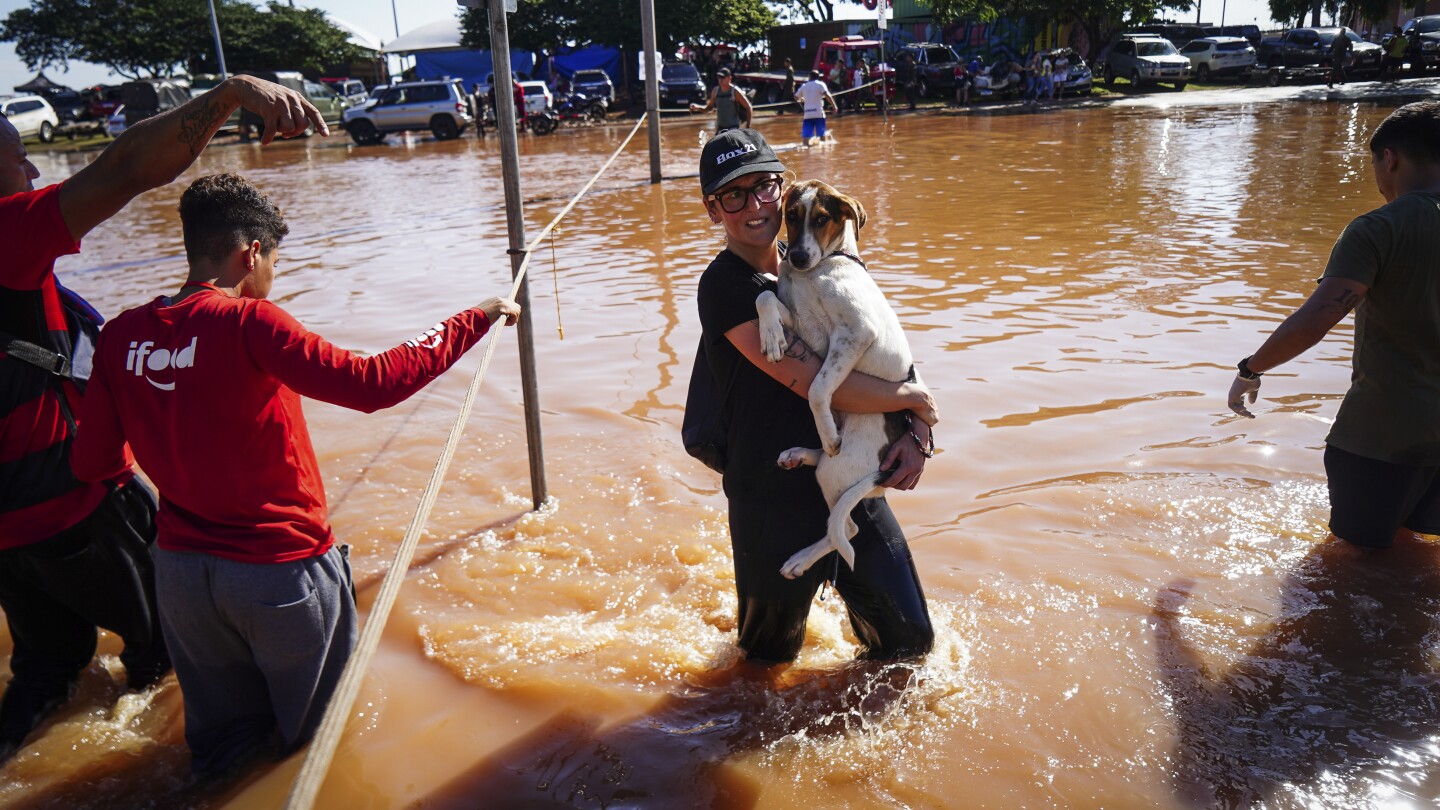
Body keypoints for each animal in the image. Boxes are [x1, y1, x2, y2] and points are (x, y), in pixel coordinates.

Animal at [754, 179, 921, 576]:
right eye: (791, 215)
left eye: (822, 219)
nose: (797, 257)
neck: (818, 270)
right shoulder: (798, 321)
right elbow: (764, 297)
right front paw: (770, 336)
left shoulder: (856, 333)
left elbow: (818, 389)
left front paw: (828, 434)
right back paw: (799, 453)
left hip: (838, 469)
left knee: (846, 529)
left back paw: (800, 558)